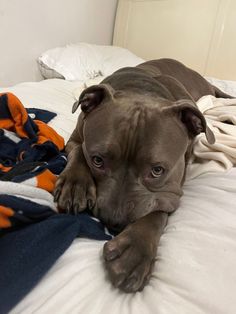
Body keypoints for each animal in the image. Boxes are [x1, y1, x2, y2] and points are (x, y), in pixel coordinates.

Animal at [53, 58, 230, 292]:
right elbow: (78, 152)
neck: (141, 92)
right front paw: (75, 185)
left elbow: (157, 210)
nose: (114, 221)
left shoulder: (172, 186)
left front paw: (135, 248)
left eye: (157, 170)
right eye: (97, 160)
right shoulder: (75, 139)